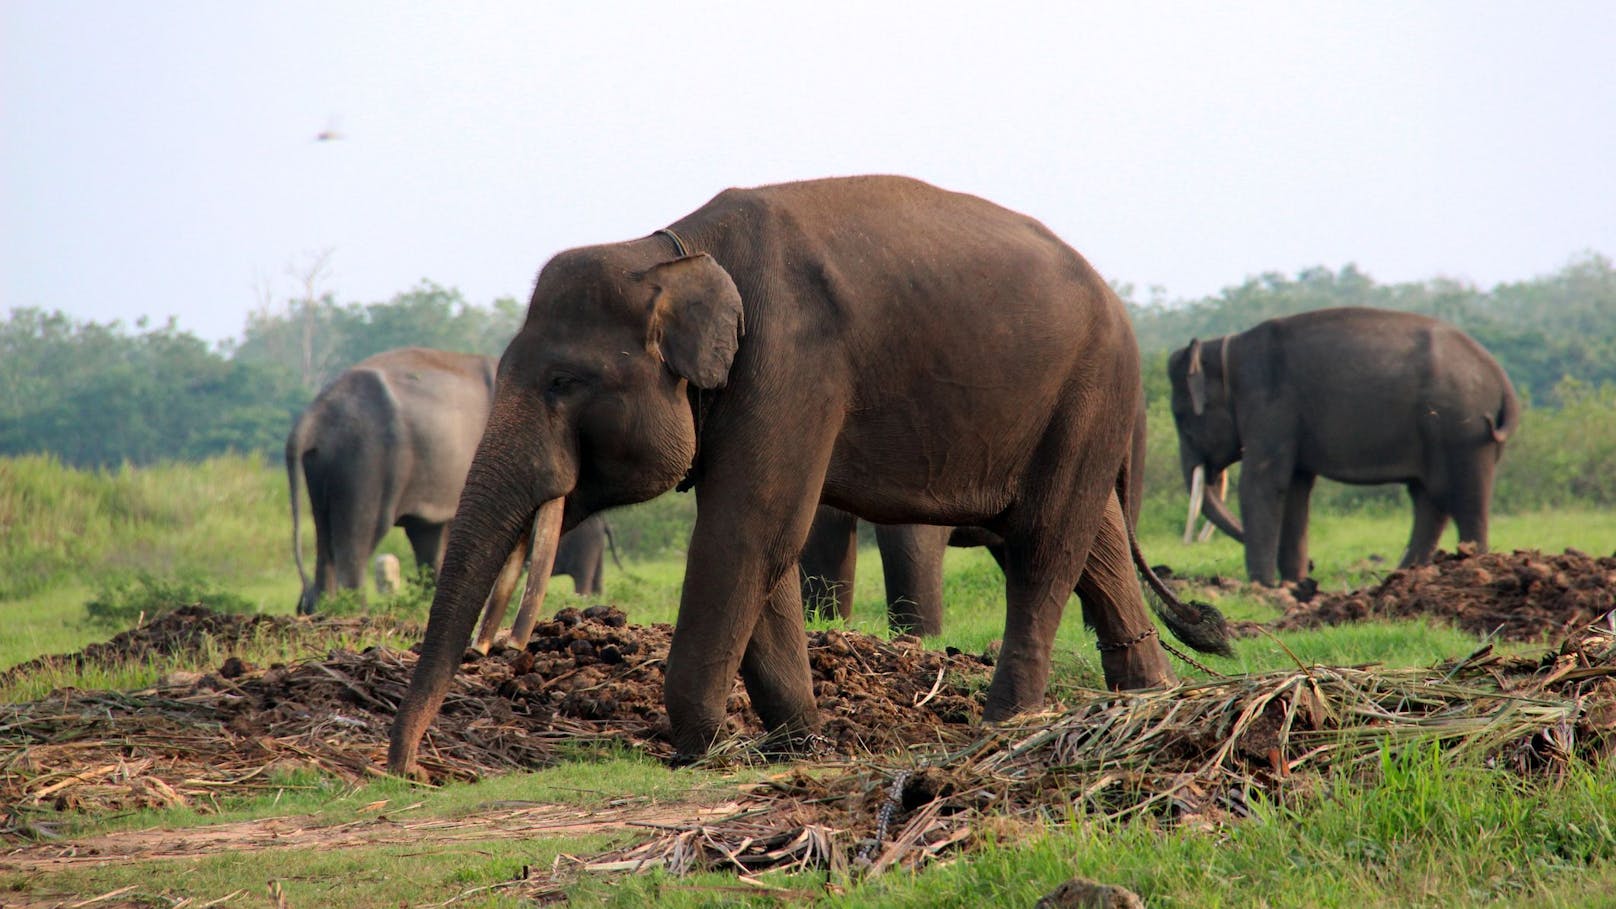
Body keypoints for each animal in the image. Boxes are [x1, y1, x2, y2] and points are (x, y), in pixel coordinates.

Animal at [284, 346, 610, 621]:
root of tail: (310, 420)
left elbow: (428, 535)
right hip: (363, 460)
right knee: (358, 537)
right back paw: (353, 612)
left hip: (325, 465)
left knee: (324, 536)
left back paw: (322, 611)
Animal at [384, 173, 1228, 766]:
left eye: (562, 381)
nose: (408, 767)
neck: (672, 249)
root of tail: (1114, 295)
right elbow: (766, 545)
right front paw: (794, 742)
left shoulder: (789, 359)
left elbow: (749, 530)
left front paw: (695, 749)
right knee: (1095, 537)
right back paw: (1151, 696)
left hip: (1093, 384)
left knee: (1044, 541)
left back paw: (1006, 722)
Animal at [1169, 304, 1519, 582]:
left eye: (1181, 417)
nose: (1314, 566)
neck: (1224, 348)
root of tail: (1503, 381)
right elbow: (1295, 487)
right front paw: (1293, 586)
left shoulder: (1269, 407)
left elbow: (1263, 483)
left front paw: (1262, 588)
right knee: (1429, 501)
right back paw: (1400, 577)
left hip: (1464, 432)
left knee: (1466, 502)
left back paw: (1472, 566)